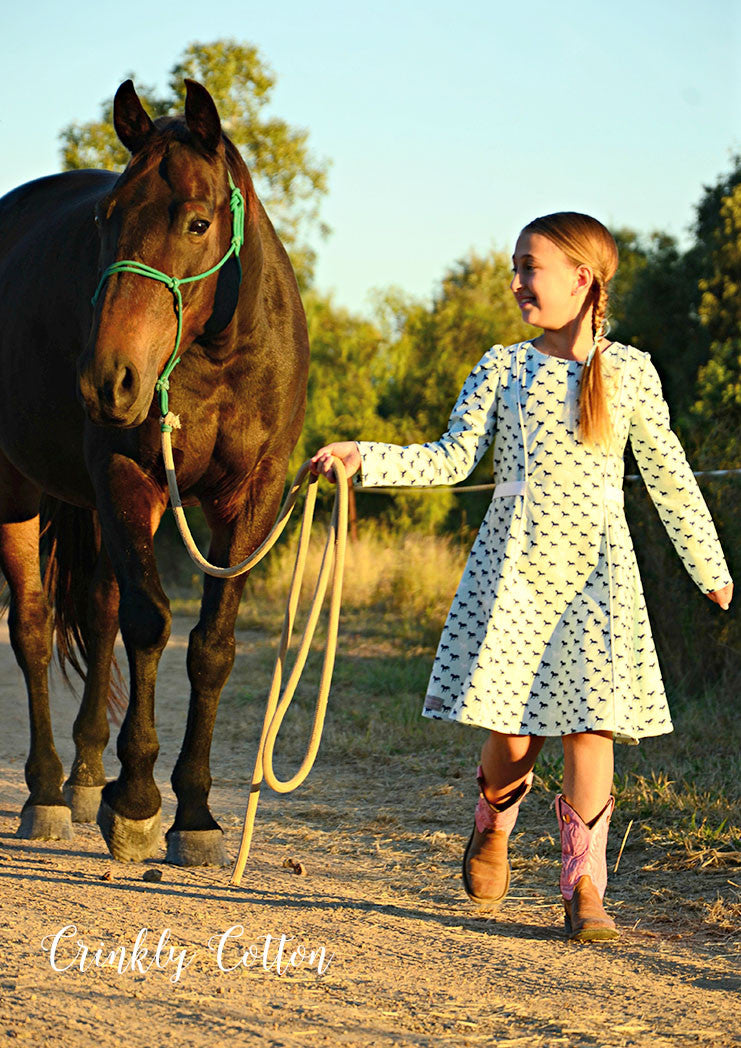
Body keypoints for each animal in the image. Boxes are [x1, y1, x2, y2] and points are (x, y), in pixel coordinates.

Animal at [0, 81, 310, 863]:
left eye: (198, 222)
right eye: (105, 219)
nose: (107, 382)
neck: (218, 357)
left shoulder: (250, 500)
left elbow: (211, 647)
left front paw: (193, 812)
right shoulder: (126, 476)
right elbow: (150, 626)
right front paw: (138, 802)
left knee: (98, 611)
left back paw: (84, 778)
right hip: (17, 488)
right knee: (33, 627)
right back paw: (47, 792)